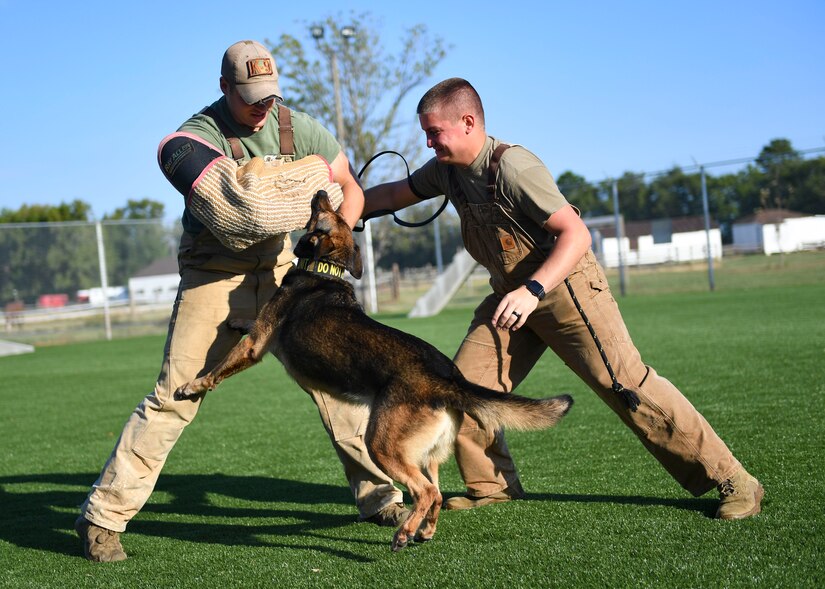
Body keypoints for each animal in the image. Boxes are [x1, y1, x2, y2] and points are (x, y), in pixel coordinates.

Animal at [175, 193, 572, 552]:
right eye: (337, 214)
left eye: (325, 213)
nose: (323, 191)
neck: (325, 269)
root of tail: (447, 379)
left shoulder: (255, 345)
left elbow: (220, 365)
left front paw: (192, 386)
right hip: (426, 454)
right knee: (436, 494)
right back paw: (423, 532)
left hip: (381, 444)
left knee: (425, 492)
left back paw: (403, 534)